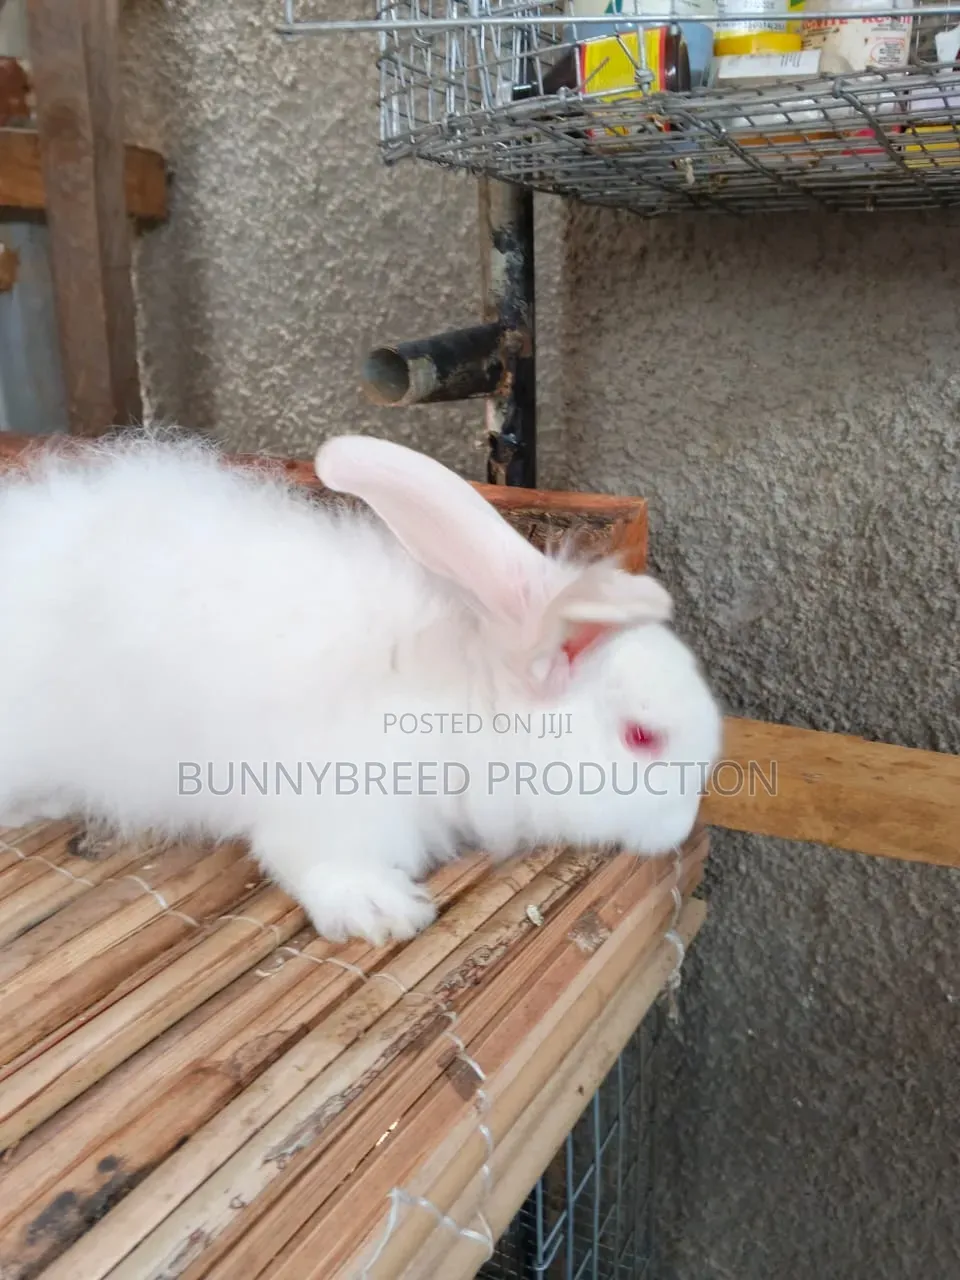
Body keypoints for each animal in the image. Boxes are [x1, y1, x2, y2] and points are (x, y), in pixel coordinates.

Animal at [0, 429, 723, 945]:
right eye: (642, 737)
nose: (682, 825)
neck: (458, 705)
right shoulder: (325, 800)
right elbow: (315, 860)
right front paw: (385, 911)